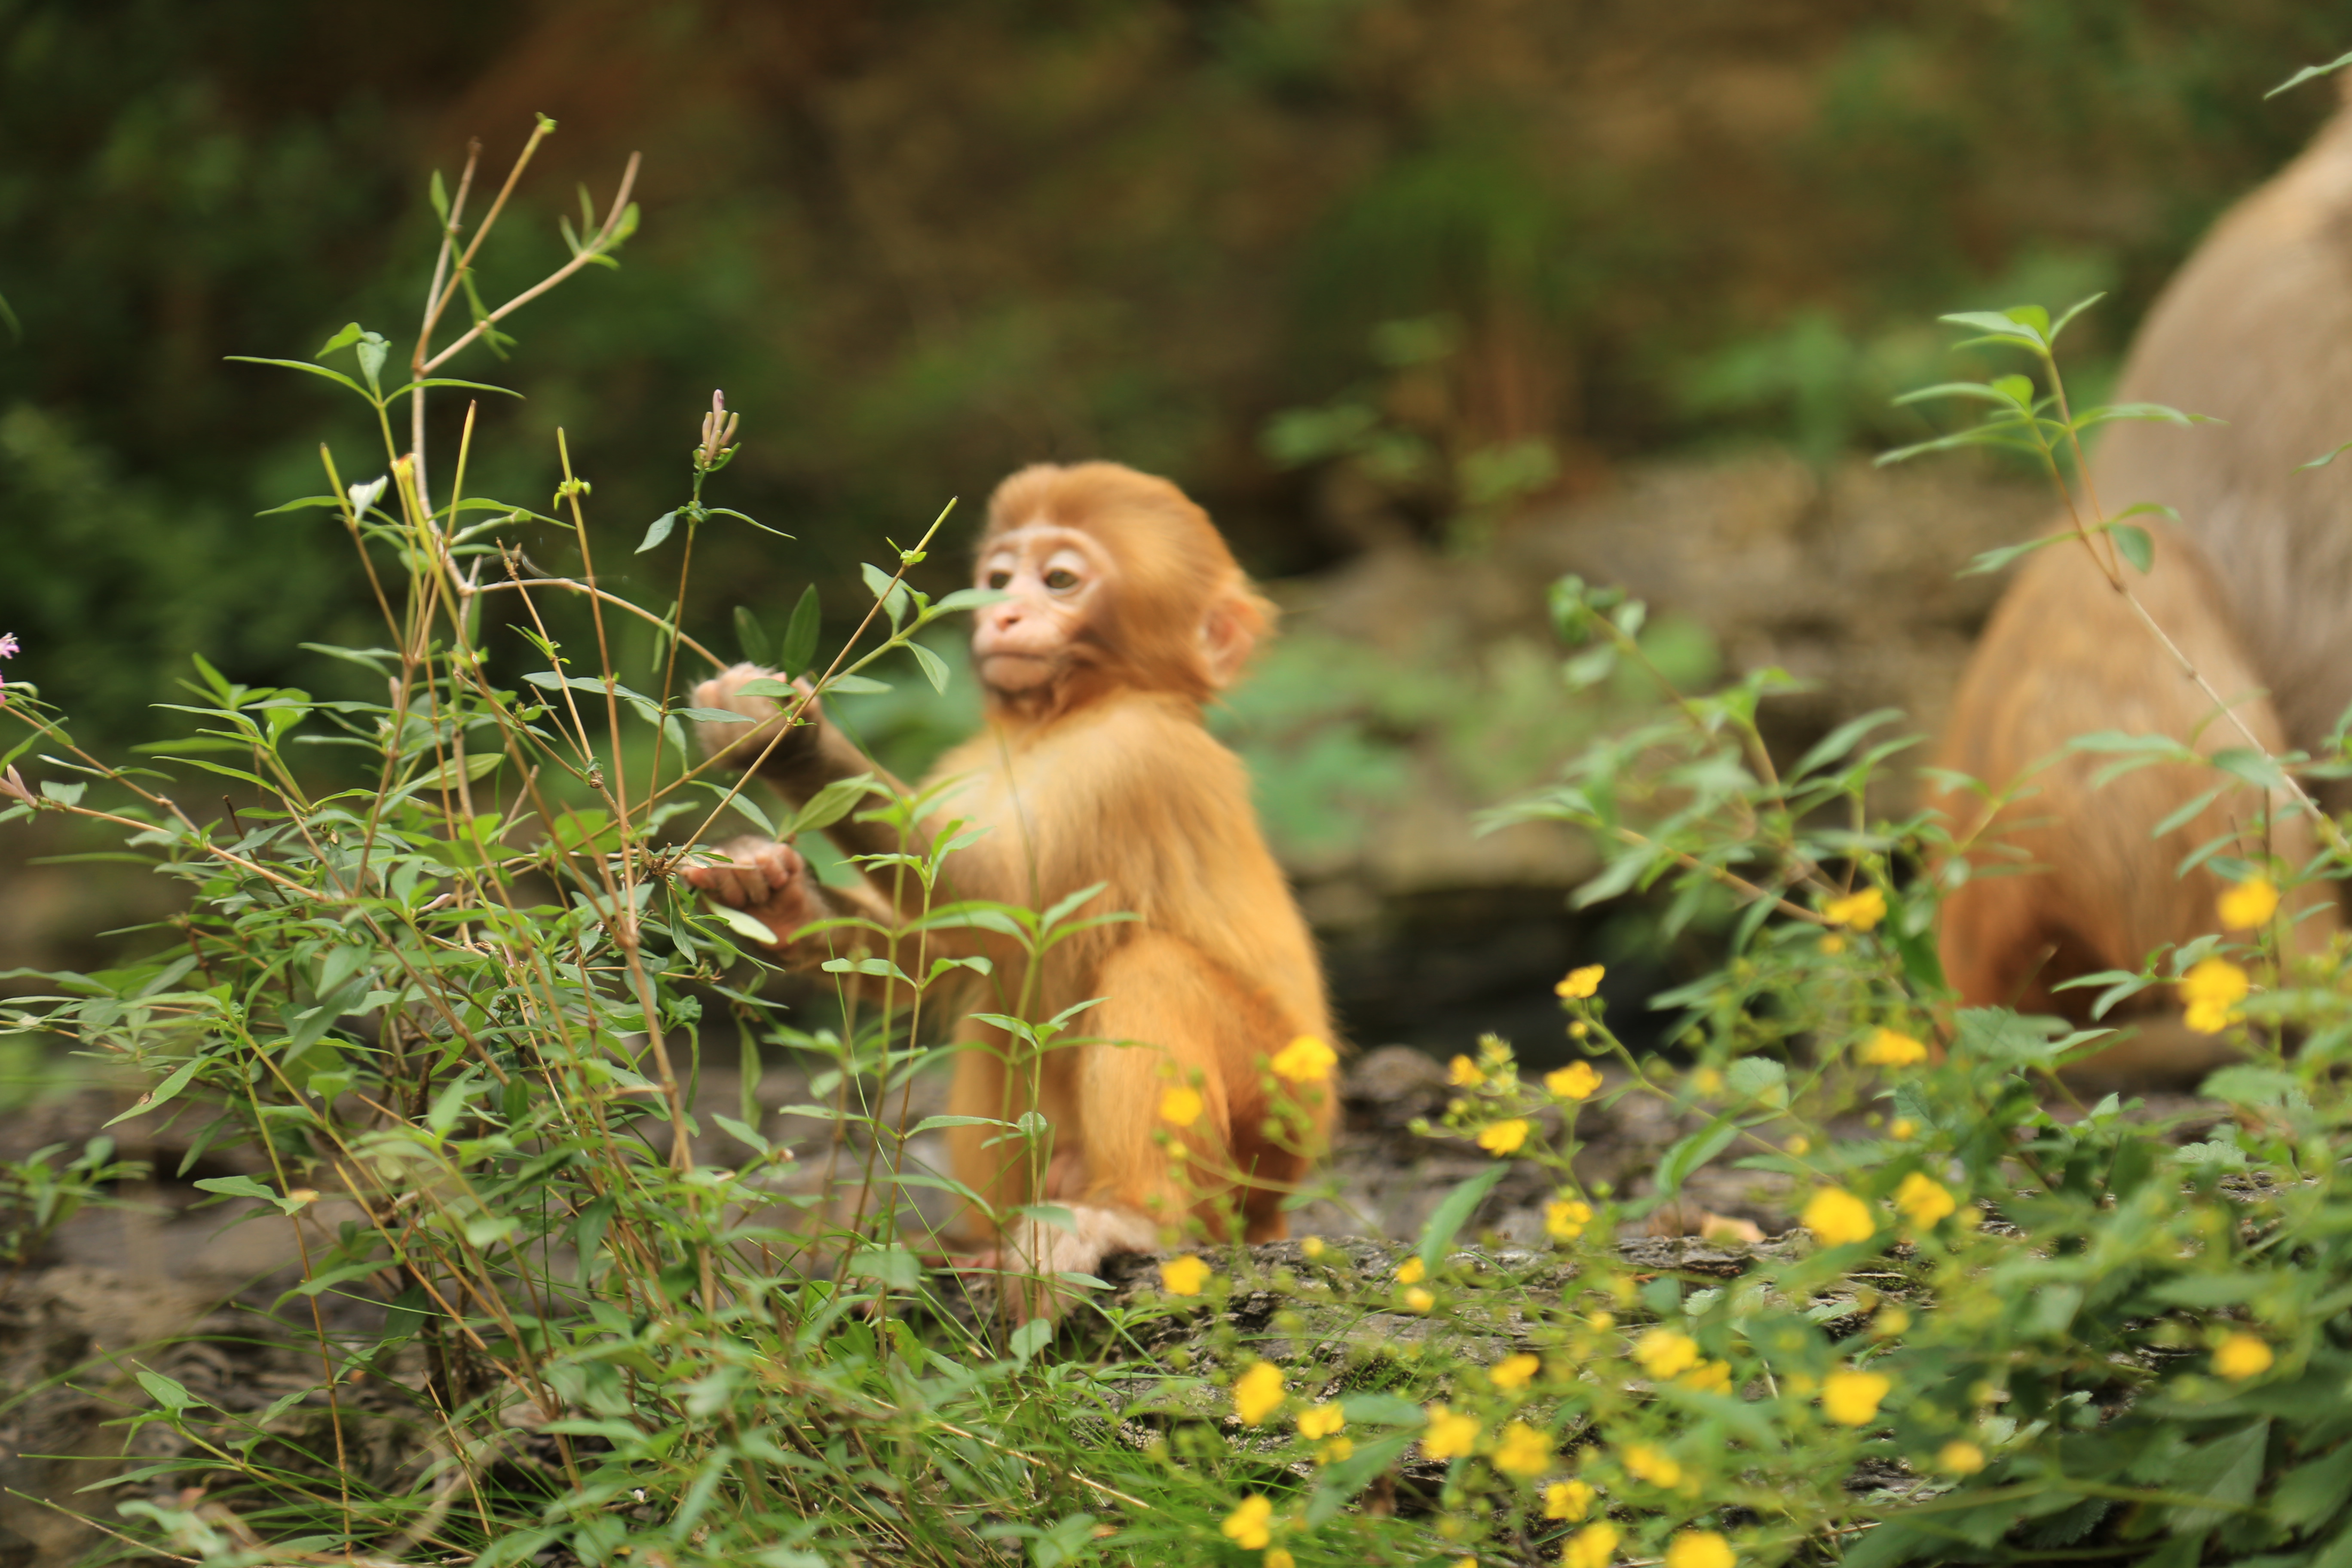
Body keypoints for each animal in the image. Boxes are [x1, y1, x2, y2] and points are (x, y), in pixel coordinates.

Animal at [686, 460, 1336, 1307]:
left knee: (1150, 965)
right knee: (998, 1008)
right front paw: (777, 896)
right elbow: (943, 955)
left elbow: (1003, 912)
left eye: (1059, 580)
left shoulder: (1134, 761)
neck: (1054, 724)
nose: (1004, 614)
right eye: (998, 581)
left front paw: (788, 736)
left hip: (1268, 1134)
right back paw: (984, 1244)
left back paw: (1131, 1213)